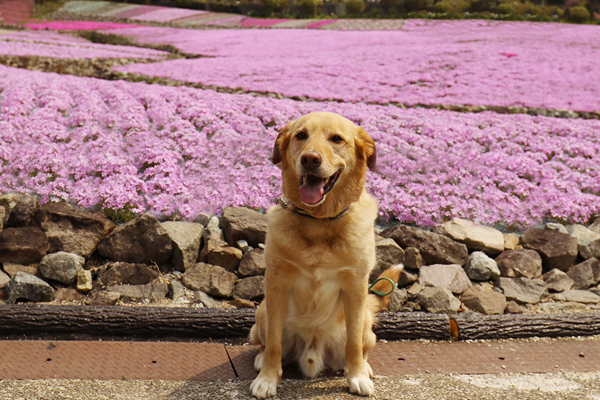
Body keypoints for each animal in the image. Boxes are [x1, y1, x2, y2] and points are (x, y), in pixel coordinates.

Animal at [250, 111, 404, 398]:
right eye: (301, 135)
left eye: (337, 139)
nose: (310, 159)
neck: (319, 222)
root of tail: (313, 351)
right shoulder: (276, 283)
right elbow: (274, 343)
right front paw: (267, 378)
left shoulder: (355, 287)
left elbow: (353, 344)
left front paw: (356, 375)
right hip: (262, 312)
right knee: (265, 341)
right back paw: (261, 359)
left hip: (366, 321)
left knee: (362, 345)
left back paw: (364, 367)